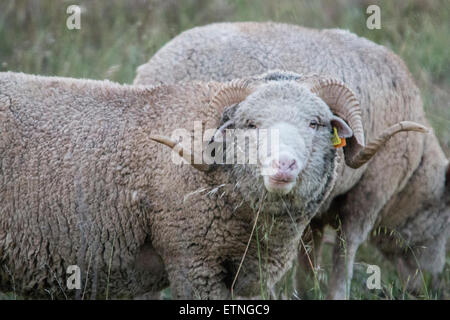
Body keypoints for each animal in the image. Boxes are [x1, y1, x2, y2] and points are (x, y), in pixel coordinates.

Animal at [134, 21, 450, 298]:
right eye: (445, 216)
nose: (429, 285)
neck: (415, 172)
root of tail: (150, 72)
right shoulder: (369, 193)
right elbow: (345, 253)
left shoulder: (315, 207)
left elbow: (309, 256)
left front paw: (306, 292)